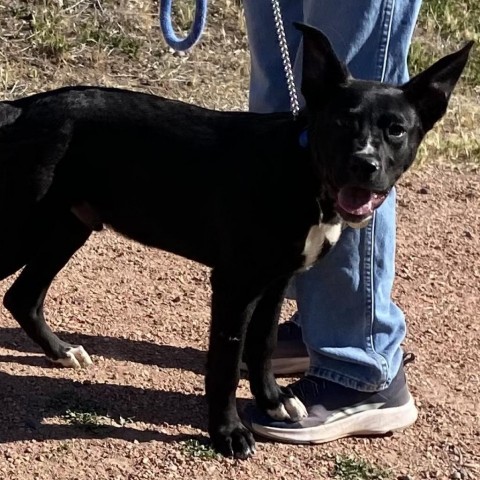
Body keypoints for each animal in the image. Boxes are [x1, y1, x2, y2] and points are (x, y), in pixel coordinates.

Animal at [0, 25, 472, 458]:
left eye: (396, 130)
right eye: (341, 121)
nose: (364, 165)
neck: (302, 171)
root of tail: (21, 109)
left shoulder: (276, 281)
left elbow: (261, 346)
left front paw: (274, 402)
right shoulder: (236, 285)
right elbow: (226, 366)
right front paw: (228, 433)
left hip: (68, 226)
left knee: (22, 297)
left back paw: (62, 351)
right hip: (27, 228)